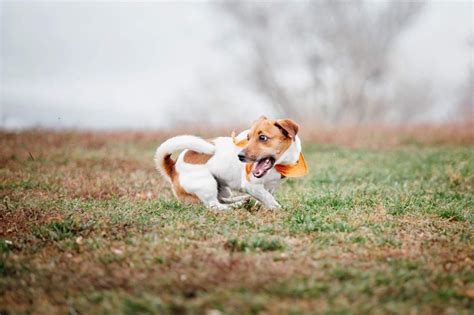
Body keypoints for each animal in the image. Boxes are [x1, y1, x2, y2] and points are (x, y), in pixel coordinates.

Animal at [156, 117, 310, 211]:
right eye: (248, 137)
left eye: (262, 137)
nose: (240, 156)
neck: (279, 166)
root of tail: (172, 167)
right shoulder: (251, 185)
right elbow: (269, 199)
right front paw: (278, 209)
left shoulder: (269, 187)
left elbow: (265, 197)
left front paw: (260, 206)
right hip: (207, 185)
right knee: (214, 205)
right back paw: (233, 207)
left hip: (223, 188)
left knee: (222, 199)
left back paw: (241, 201)